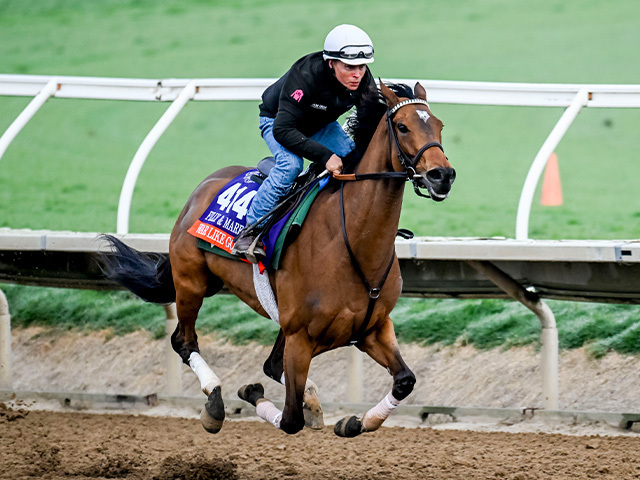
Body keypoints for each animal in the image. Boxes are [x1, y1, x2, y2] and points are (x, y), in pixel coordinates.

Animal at [101, 80, 456, 436]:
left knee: (269, 364)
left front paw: (356, 420)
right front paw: (253, 393)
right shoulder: (301, 335)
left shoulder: (372, 327)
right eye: (403, 126)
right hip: (191, 282)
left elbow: (404, 381)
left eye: (440, 125)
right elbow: (289, 419)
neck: (352, 243)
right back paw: (214, 403)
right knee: (184, 341)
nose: (443, 175)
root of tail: (201, 189)